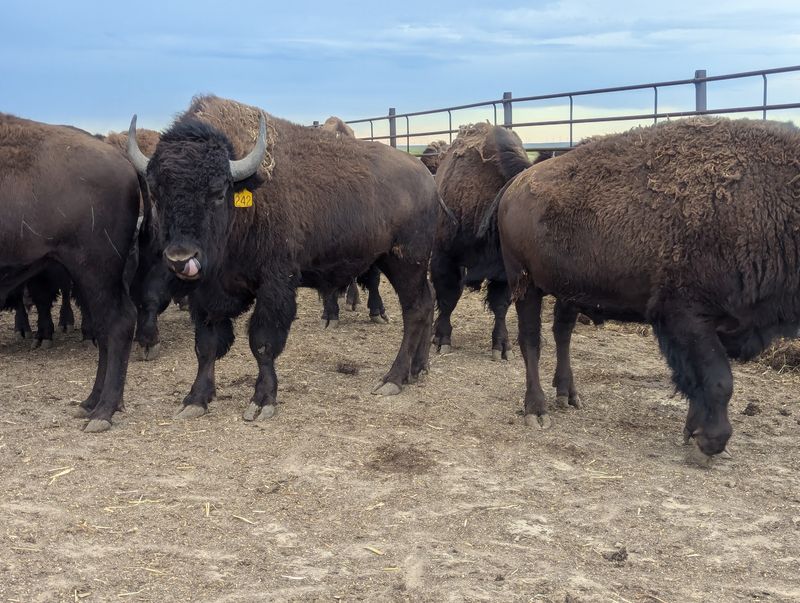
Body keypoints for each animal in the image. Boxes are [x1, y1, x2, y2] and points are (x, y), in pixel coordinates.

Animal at [128, 95, 439, 421]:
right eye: (156, 194)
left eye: (217, 192)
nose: (180, 258)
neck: (247, 193)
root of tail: (426, 178)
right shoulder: (206, 294)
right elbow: (206, 346)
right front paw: (195, 400)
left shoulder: (274, 284)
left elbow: (263, 343)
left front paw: (262, 401)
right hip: (395, 262)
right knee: (427, 300)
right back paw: (418, 369)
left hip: (407, 261)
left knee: (415, 310)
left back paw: (393, 378)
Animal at [495, 117, 800, 461]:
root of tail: (517, 183)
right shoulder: (687, 317)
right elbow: (719, 381)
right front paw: (710, 441)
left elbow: (699, 379)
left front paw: (693, 431)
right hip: (525, 283)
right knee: (531, 341)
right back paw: (537, 410)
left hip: (567, 289)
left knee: (562, 333)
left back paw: (568, 395)